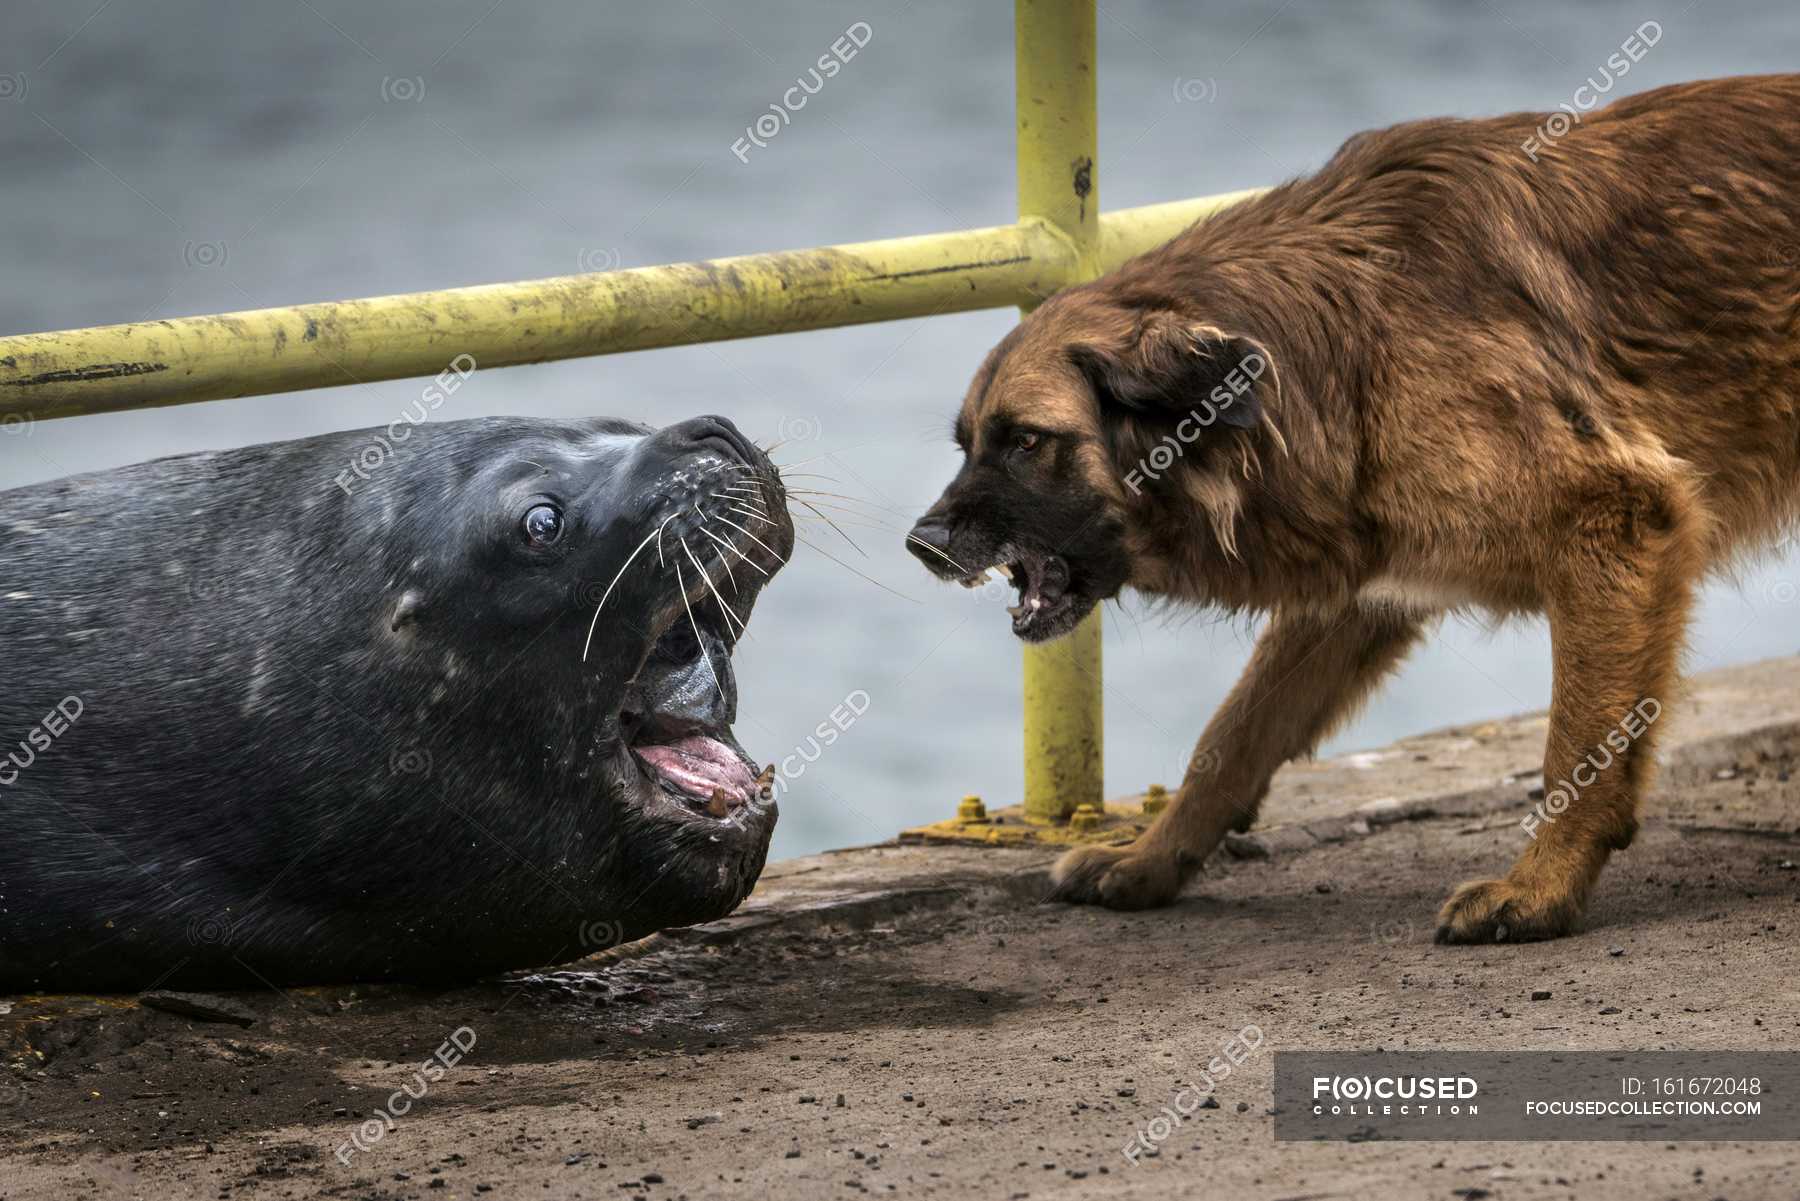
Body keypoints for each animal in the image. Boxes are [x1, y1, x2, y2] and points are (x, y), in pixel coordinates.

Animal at [907, 75, 1800, 943]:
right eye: (965, 443)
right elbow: (1229, 738)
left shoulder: (1617, 522)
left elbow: (1578, 749)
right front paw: (1152, 859)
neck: (1353, 340)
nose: (922, 543)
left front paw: (1539, 891)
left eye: (1025, 440)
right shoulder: (1357, 580)